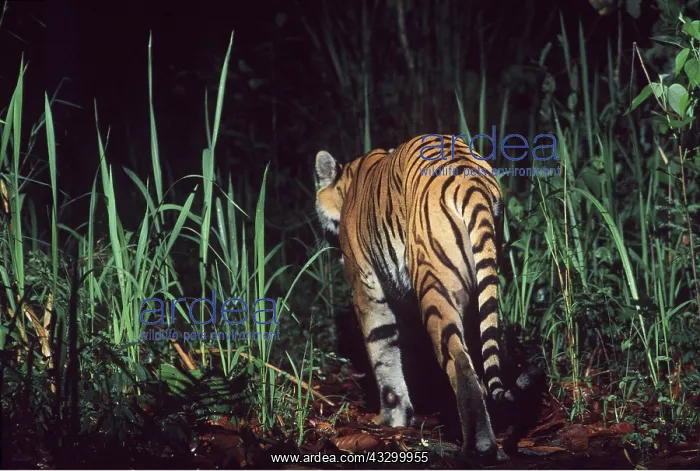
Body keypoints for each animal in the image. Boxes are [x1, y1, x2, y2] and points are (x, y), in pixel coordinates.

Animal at [314, 134, 540, 459]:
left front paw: (392, 420)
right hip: (479, 284)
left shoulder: (368, 289)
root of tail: (471, 181)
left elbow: (383, 354)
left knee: (461, 364)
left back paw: (476, 447)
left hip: (435, 288)